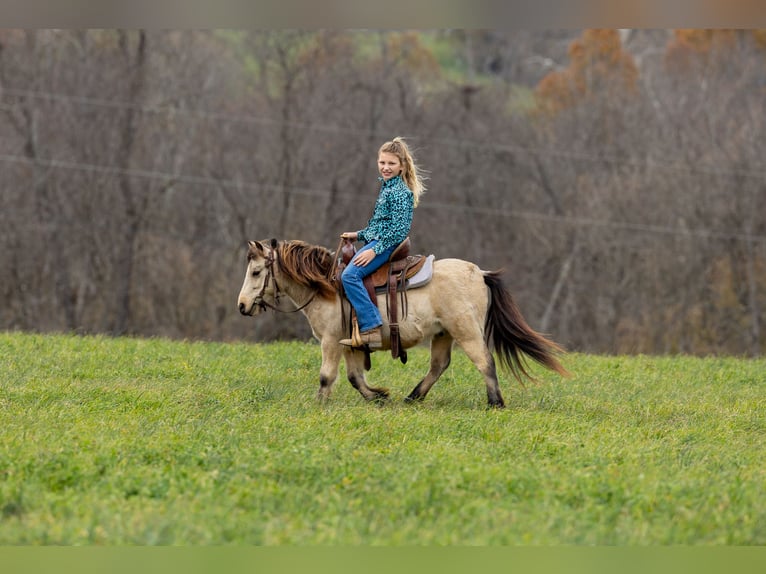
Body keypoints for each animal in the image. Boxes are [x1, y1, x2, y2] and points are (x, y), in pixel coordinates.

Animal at [237, 238, 569, 408]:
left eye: (256, 272)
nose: (242, 306)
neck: (327, 287)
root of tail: (480, 272)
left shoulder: (331, 341)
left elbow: (326, 376)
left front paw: (318, 404)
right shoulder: (351, 345)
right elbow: (354, 377)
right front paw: (379, 396)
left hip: (466, 331)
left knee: (484, 361)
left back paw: (495, 402)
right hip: (443, 334)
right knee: (438, 366)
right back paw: (412, 397)